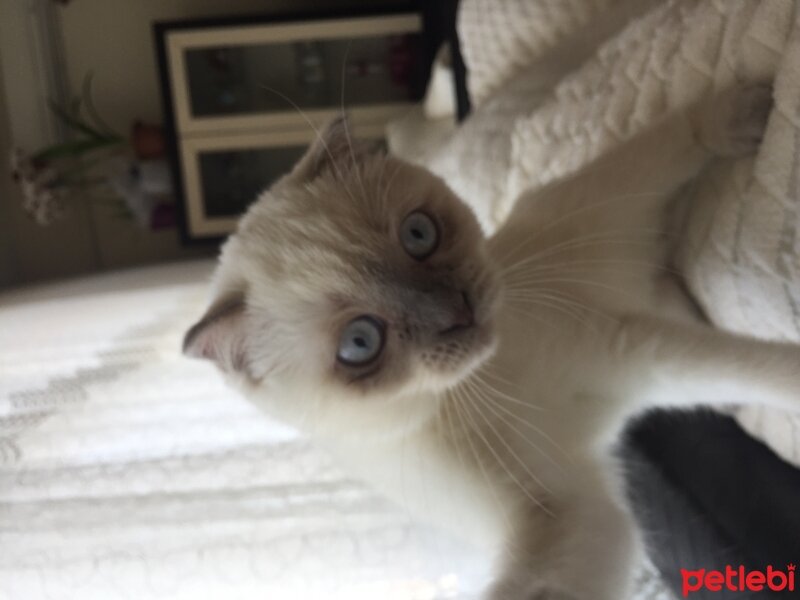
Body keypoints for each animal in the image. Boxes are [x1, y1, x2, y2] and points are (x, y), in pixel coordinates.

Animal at [184, 85, 796, 600]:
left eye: (419, 234)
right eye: (359, 344)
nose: (459, 312)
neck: (482, 382)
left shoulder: (623, 350)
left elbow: (762, 368)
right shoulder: (573, 502)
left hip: (593, 209)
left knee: (661, 151)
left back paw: (745, 111)